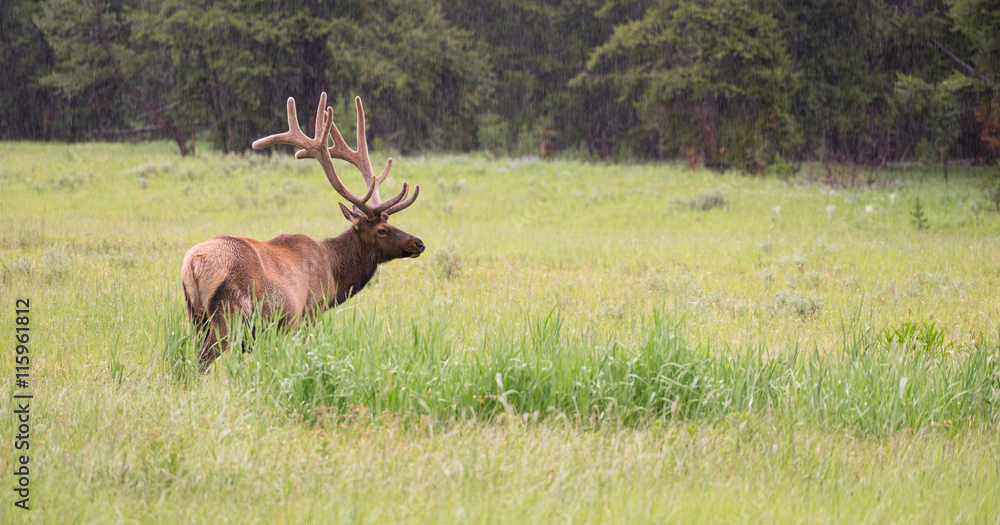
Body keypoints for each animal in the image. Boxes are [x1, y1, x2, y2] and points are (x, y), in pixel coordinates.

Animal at [181, 93, 424, 371]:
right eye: (382, 230)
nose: (418, 243)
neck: (334, 272)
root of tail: (194, 263)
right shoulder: (310, 313)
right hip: (229, 315)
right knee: (204, 359)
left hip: (196, 316)